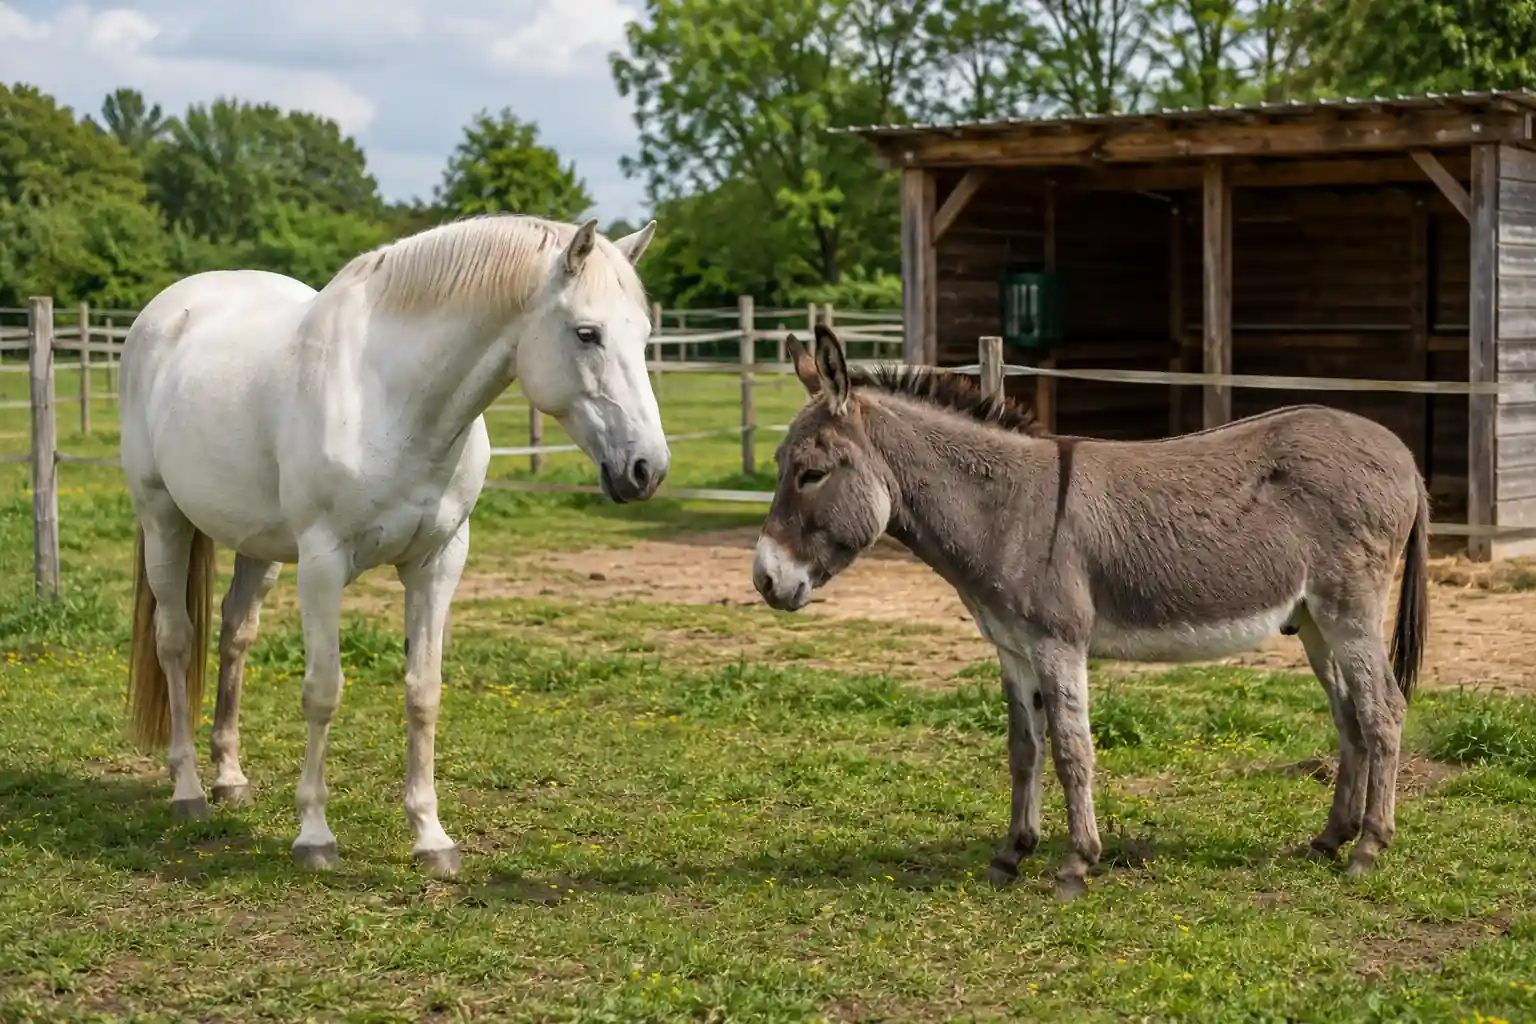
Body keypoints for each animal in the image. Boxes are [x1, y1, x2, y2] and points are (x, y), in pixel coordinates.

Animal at [119, 213, 669, 877]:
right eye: (587, 333)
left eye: (644, 335)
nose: (647, 469)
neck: (391, 398)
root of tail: (165, 312)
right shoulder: (323, 563)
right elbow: (322, 691)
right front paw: (315, 835)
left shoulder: (437, 564)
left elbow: (423, 692)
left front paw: (431, 838)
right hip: (162, 519)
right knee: (175, 641)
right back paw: (189, 790)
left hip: (259, 546)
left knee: (235, 635)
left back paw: (229, 778)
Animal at [751, 325, 1428, 900]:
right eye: (781, 467)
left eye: (811, 474)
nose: (765, 580)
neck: (1006, 511)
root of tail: (1401, 450)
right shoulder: (1013, 649)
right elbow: (1023, 749)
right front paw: (1012, 853)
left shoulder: (1058, 644)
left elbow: (1072, 751)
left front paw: (1077, 864)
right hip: (1313, 619)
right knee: (1349, 715)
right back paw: (1331, 838)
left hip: (1350, 608)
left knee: (1384, 710)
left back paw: (1368, 848)